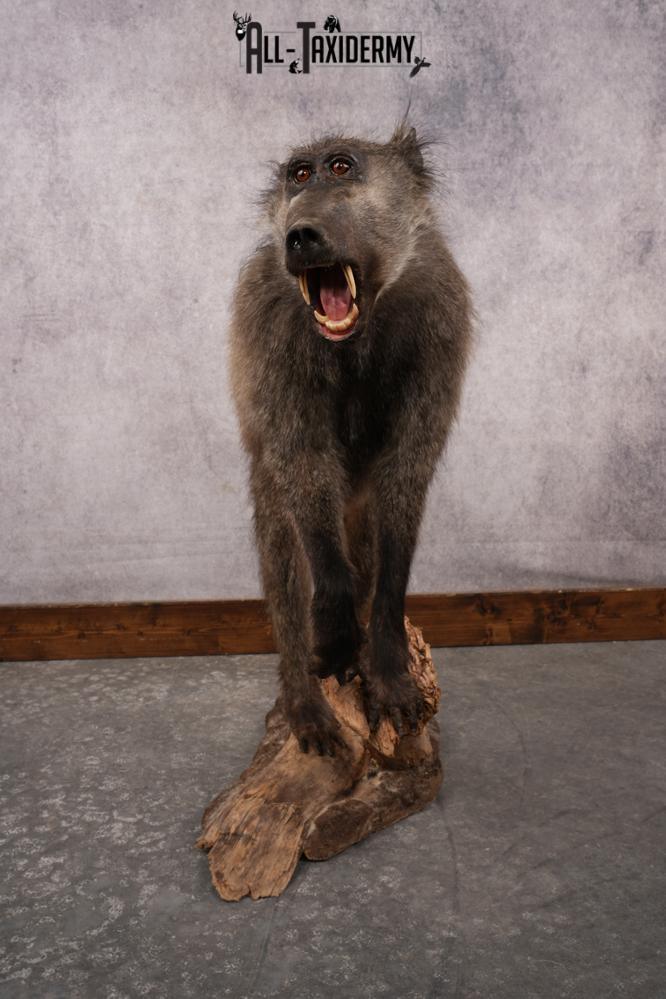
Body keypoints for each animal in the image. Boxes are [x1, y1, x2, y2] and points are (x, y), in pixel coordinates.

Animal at [228, 122, 472, 757]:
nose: (300, 236)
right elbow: (302, 460)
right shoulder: (268, 323)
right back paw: (305, 702)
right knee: (285, 546)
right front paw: (334, 627)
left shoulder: (441, 317)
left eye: (341, 167)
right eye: (300, 175)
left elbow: (406, 479)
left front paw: (386, 667)